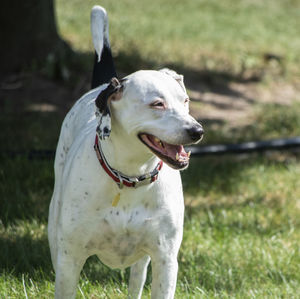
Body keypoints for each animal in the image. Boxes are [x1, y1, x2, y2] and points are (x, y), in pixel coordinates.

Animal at [48, 5, 203, 299]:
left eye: (186, 100)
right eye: (157, 104)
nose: (197, 130)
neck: (132, 177)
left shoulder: (165, 259)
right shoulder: (70, 259)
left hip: (144, 259)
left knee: (137, 277)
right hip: (56, 233)